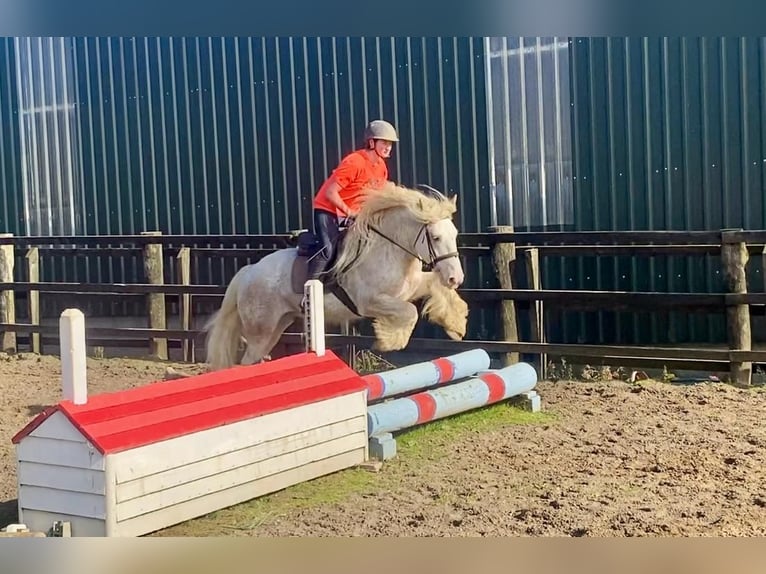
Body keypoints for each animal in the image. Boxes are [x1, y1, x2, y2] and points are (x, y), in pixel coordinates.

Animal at [202, 184, 468, 374]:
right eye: (435, 237)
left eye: (454, 234)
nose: (456, 278)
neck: (390, 250)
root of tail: (248, 272)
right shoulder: (369, 302)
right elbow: (409, 312)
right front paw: (388, 341)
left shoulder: (411, 288)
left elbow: (435, 288)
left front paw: (456, 326)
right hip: (261, 331)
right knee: (247, 361)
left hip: (277, 326)